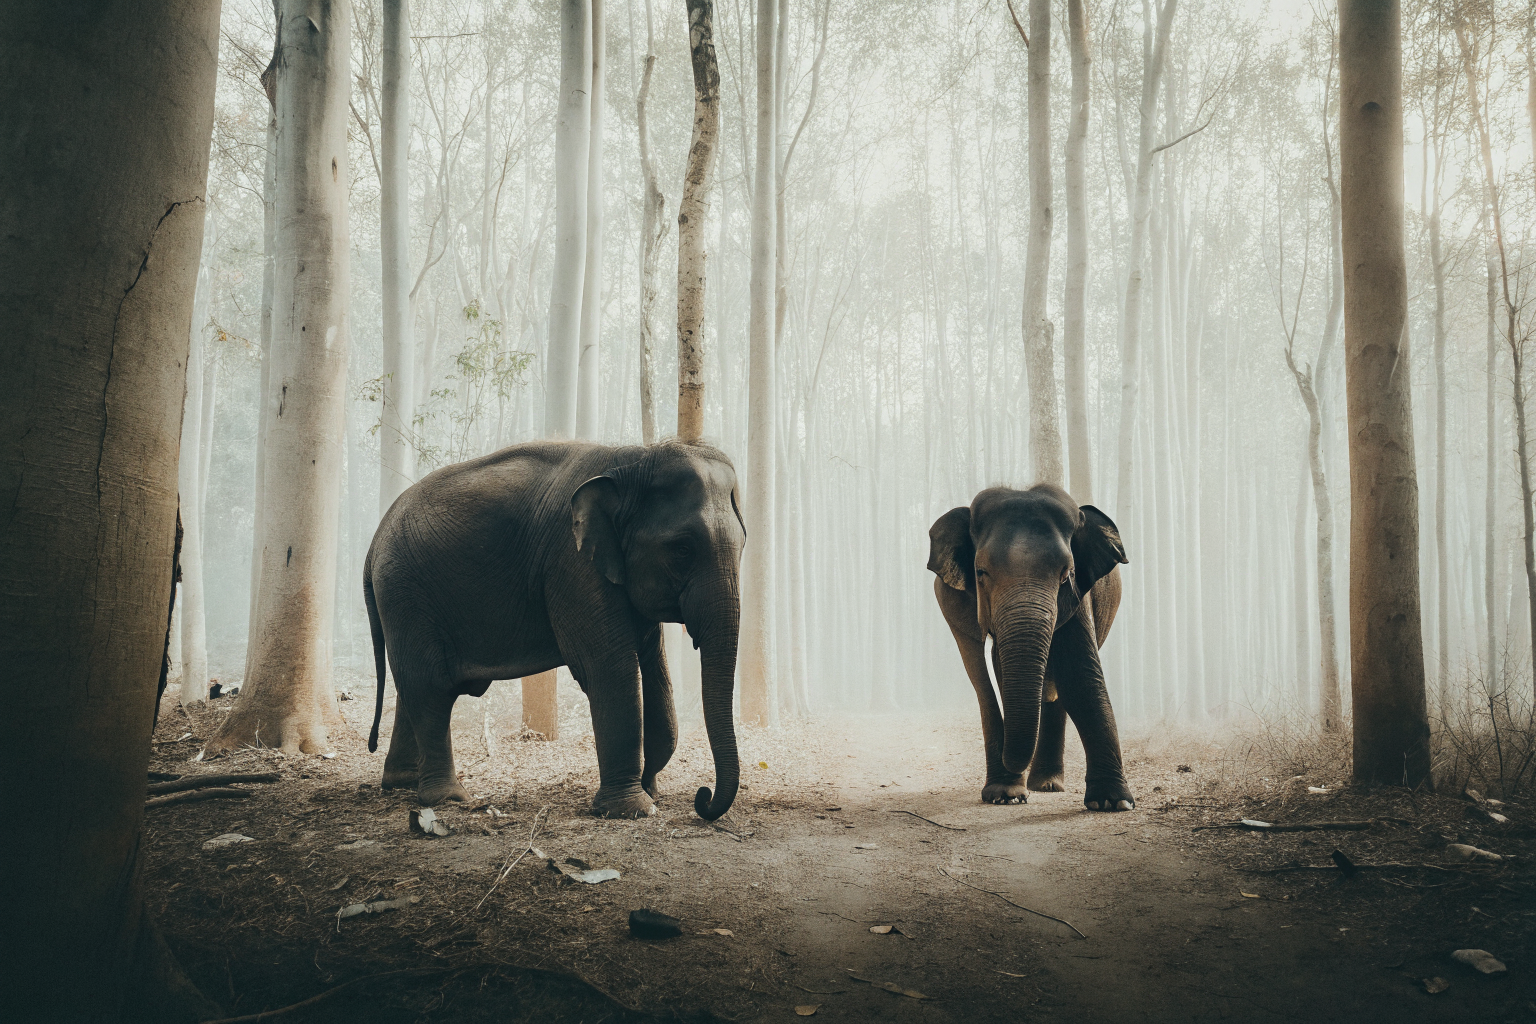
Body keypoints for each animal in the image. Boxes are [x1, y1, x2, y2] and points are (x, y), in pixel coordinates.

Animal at [363, 438, 745, 820]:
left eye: (742, 545)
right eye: (682, 549)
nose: (703, 797)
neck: (634, 459)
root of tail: (373, 542)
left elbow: (656, 673)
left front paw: (651, 793)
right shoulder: (572, 562)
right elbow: (609, 669)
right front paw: (633, 809)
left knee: (413, 686)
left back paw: (403, 783)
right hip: (404, 591)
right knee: (429, 686)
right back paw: (449, 798)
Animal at [927, 484, 1135, 811]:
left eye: (1066, 573)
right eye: (980, 572)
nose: (1011, 769)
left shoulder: (1077, 596)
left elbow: (1079, 674)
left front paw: (1113, 802)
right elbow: (992, 676)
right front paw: (1006, 794)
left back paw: (1047, 785)